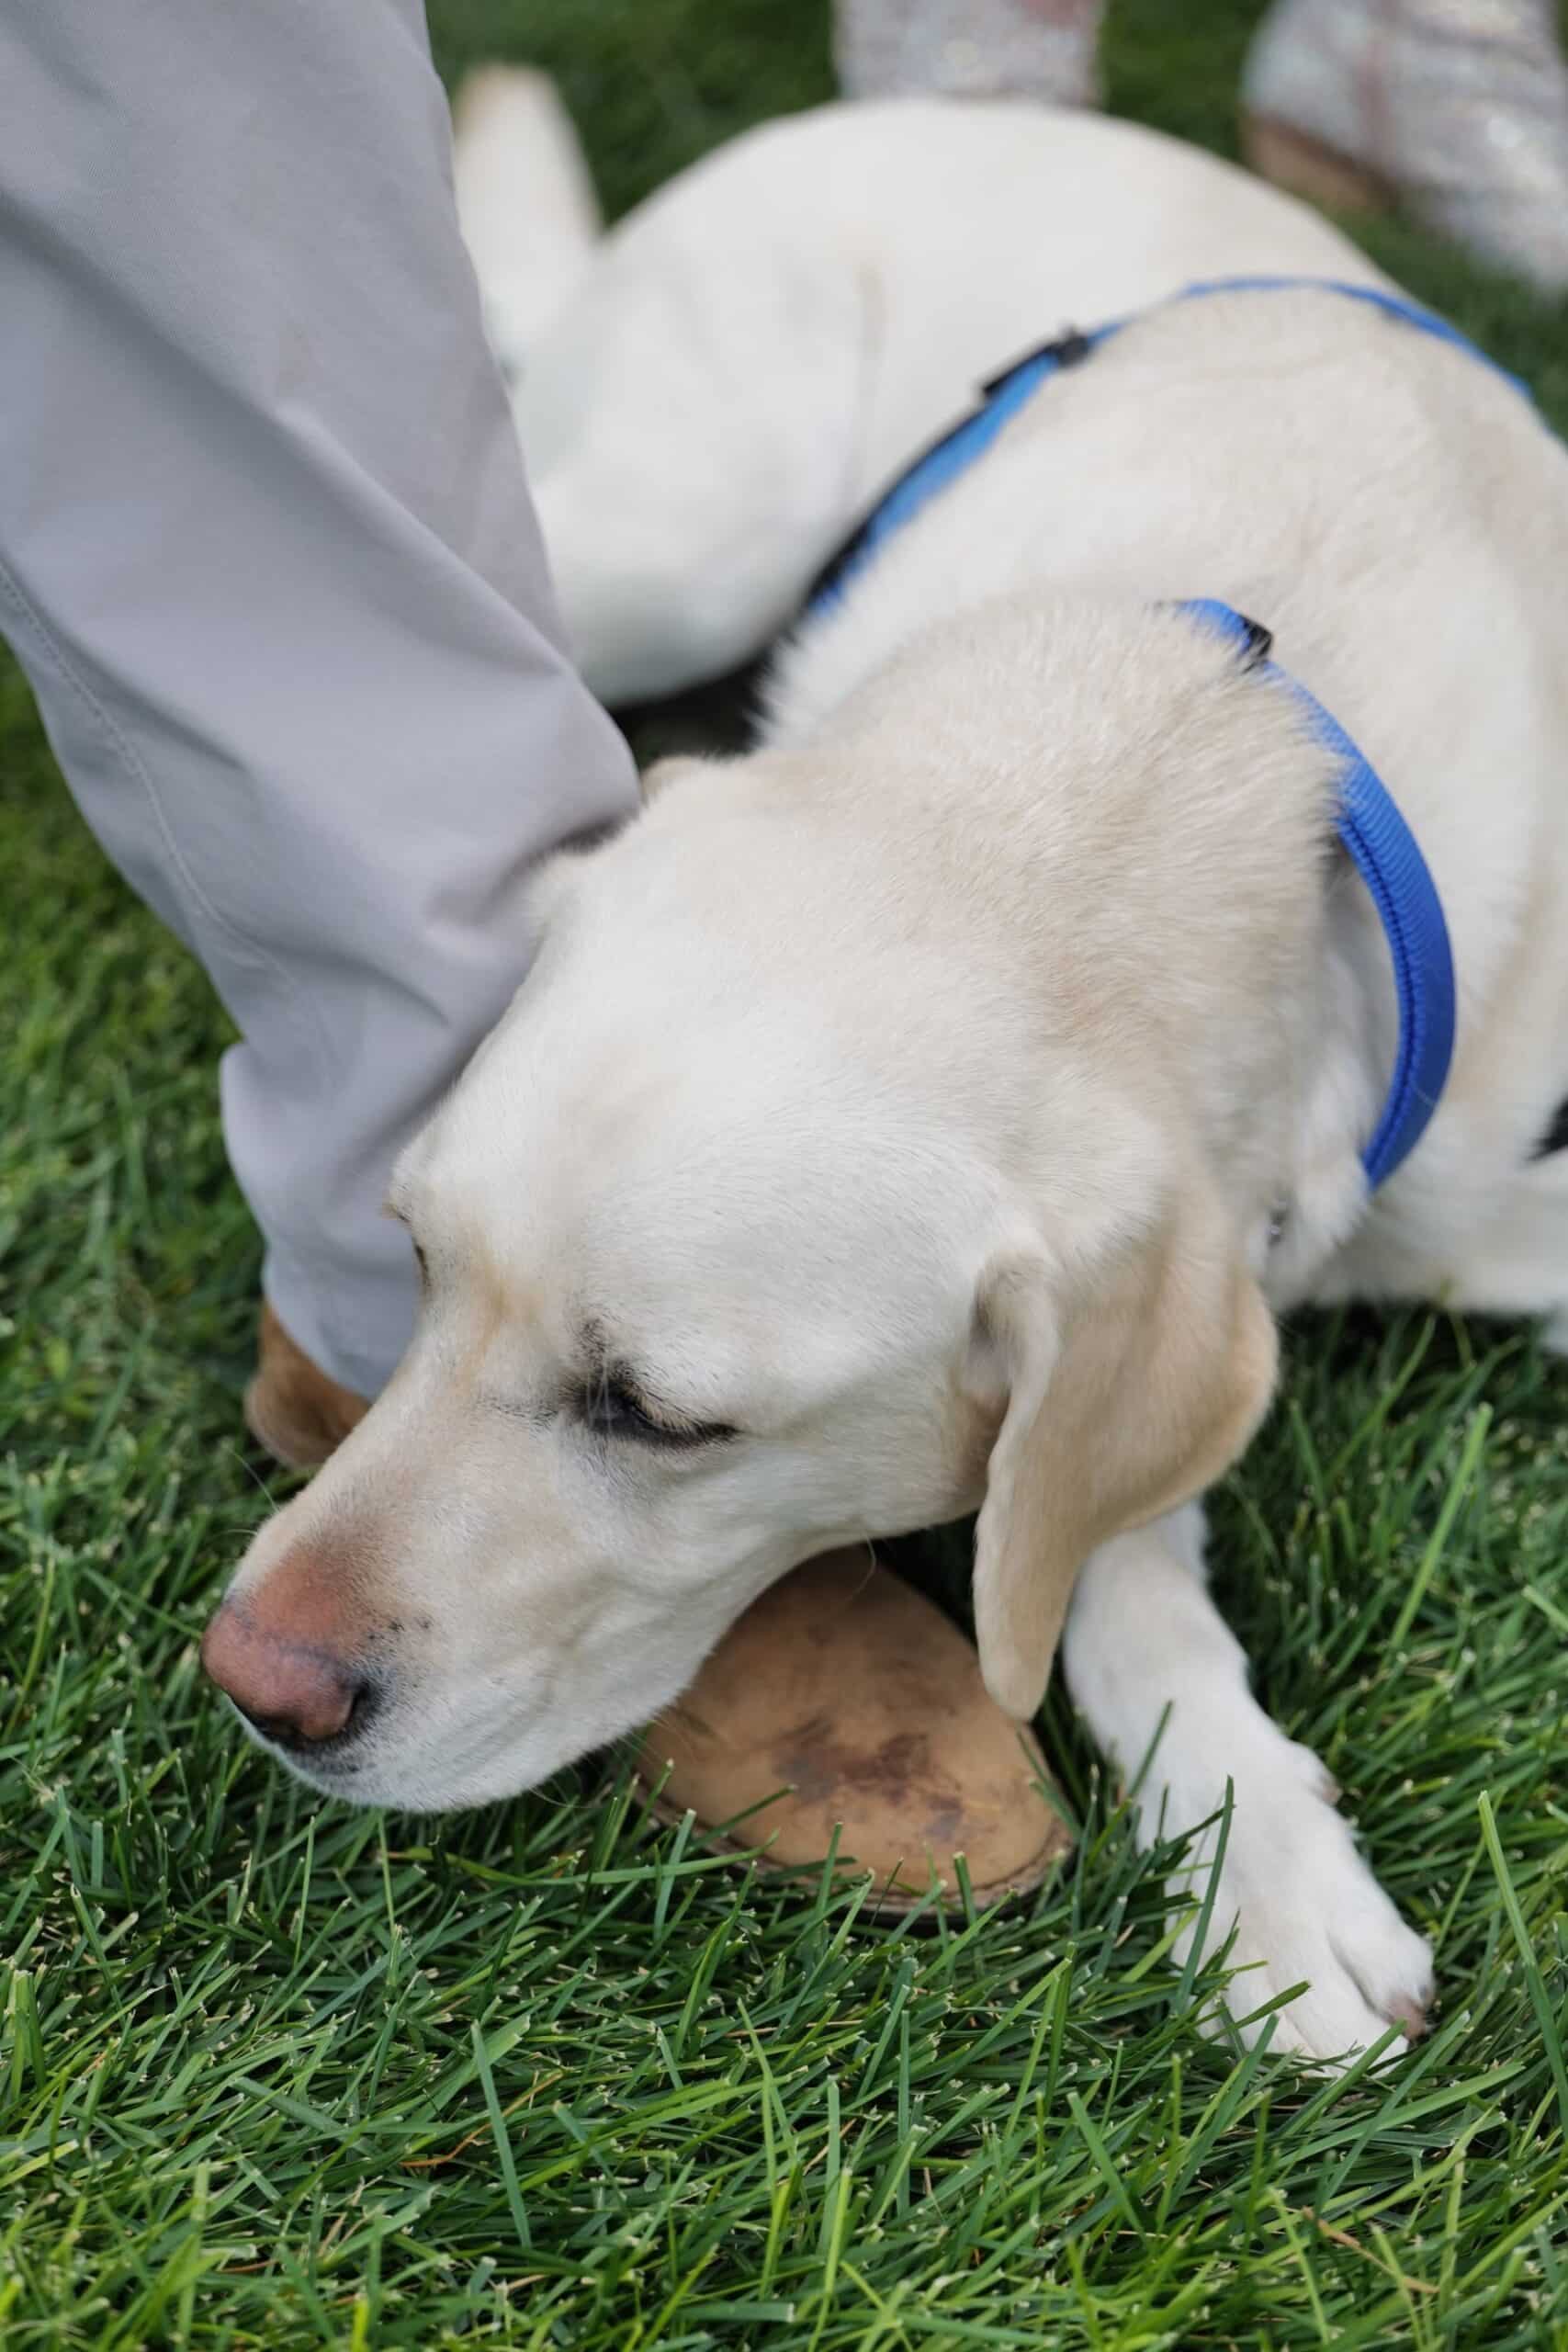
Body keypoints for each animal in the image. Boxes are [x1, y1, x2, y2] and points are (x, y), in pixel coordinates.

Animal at [202, 83, 1568, 2051]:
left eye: (662, 1419)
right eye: (412, 1262)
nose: (253, 1682)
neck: (1184, 739)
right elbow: (1099, 1570)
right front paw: (1265, 1861)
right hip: (682, 543)